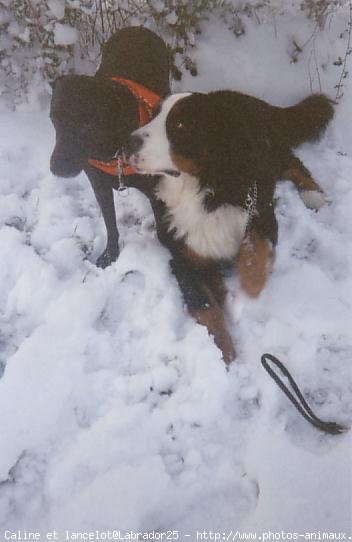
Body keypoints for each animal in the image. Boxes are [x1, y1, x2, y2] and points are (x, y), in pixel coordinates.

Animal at [49, 27, 170, 270]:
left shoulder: (154, 191)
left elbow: (162, 230)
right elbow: (110, 225)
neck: (110, 149)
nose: (56, 169)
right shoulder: (99, 186)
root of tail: (137, 28)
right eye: (53, 119)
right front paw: (110, 254)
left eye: (86, 124)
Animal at [125, 89, 334, 364]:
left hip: (267, 155)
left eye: (180, 125)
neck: (198, 190)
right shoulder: (182, 254)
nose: (129, 141)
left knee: (292, 162)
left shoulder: (260, 209)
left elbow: (256, 249)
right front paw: (223, 350)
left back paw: (313, 194)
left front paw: (249, 286)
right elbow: (205, 304)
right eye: (153, 114)